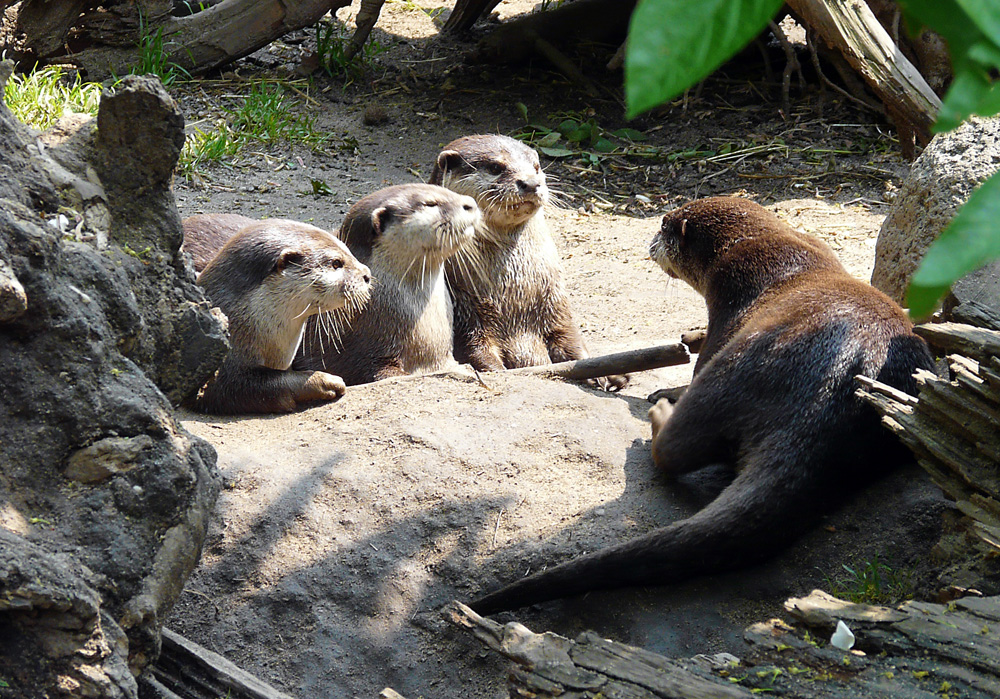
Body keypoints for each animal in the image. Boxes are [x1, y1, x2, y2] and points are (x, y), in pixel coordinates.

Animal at [428, 134, 624, 392]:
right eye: (495, 167)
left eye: (536, 167)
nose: (531, 183)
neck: (515, 296)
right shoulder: (466, 311)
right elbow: (477, 352)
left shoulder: (556, 302)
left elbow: (571, 339)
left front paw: (599, 375)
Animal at [468, 196, 936, 612]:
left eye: (662, 226)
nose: (650, 239)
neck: (777, 244)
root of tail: (825, 399)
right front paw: (690, 333)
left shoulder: (730, 295)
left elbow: (702, 357)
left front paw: (675, 375)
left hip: (736, 371)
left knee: (673, 449)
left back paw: (659, 414)